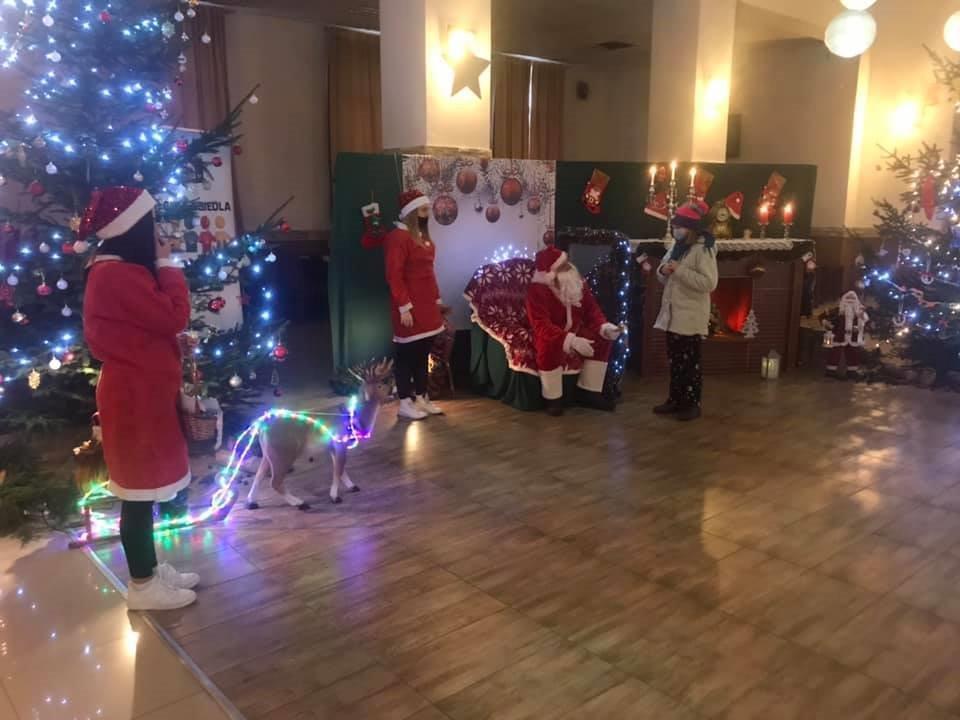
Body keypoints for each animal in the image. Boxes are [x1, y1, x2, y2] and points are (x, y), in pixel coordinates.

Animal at [245, 359, 394, 510]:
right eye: (381, 384)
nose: (394, 391)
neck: (354, 419)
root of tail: (261, 426)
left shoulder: (332, 447)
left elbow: (340, 469)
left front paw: (352, 486)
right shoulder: (340, 443)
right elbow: (338, 469)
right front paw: (335, 496)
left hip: (268, 452)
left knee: (259, 475)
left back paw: (252, 502)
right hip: (283, 452)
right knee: (274, 481)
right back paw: (300, 503)